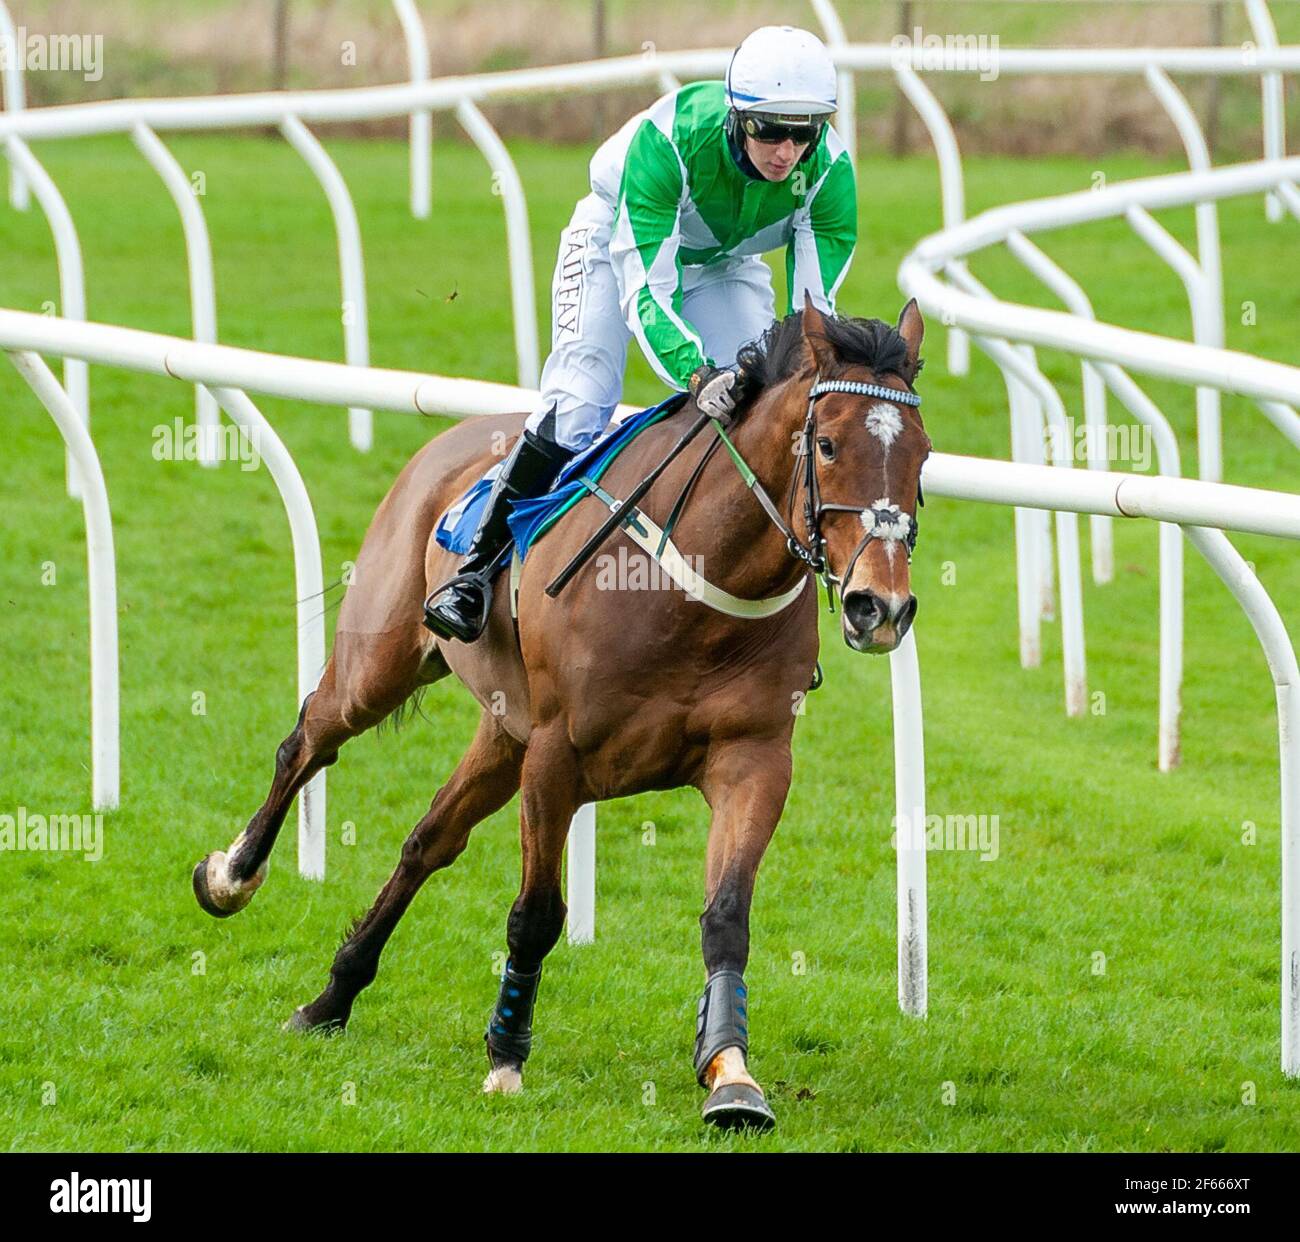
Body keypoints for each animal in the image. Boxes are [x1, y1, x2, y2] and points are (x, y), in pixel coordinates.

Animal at [189, 296, 925, 1134]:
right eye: (827, 444)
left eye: (924, 457)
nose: (880, 606)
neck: (694, 591)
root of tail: (455, 437)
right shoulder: (555, 755)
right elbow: (537, 914)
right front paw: (507, 1057)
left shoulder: (755, 758)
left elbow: (727, 917)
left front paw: (731, 1075)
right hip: (382, 665)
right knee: (309, 739)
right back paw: (231, 875)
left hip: (501, 732)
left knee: (426, 841)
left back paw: (331, 998)